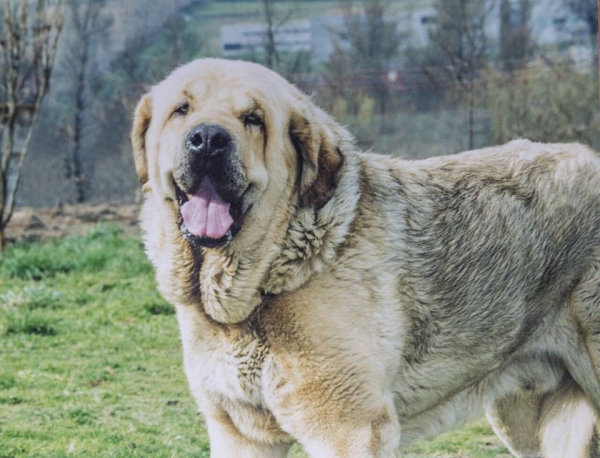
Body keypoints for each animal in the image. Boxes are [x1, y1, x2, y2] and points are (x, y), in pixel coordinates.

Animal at [131, 59, 600, 456]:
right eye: (181, 110)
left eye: (254, 119)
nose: (209, 139)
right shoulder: (241, 433)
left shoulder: (349, 428)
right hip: (523, 415)